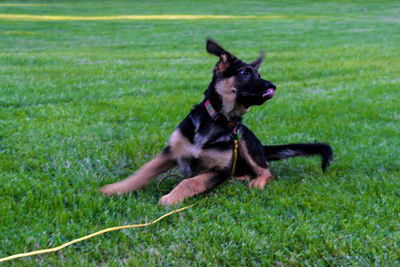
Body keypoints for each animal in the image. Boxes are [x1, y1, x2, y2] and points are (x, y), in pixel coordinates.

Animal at [99, 38, 332, 205]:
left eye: (259, 74)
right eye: (245, 72)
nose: (273, 86)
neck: (217, 120)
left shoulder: (218, 171)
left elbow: (190, 181)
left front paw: (171, 198)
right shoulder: (171, 151)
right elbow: (144, 171)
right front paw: (116, 189)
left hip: (245, 141)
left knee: (266, 171)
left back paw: (255, 182)